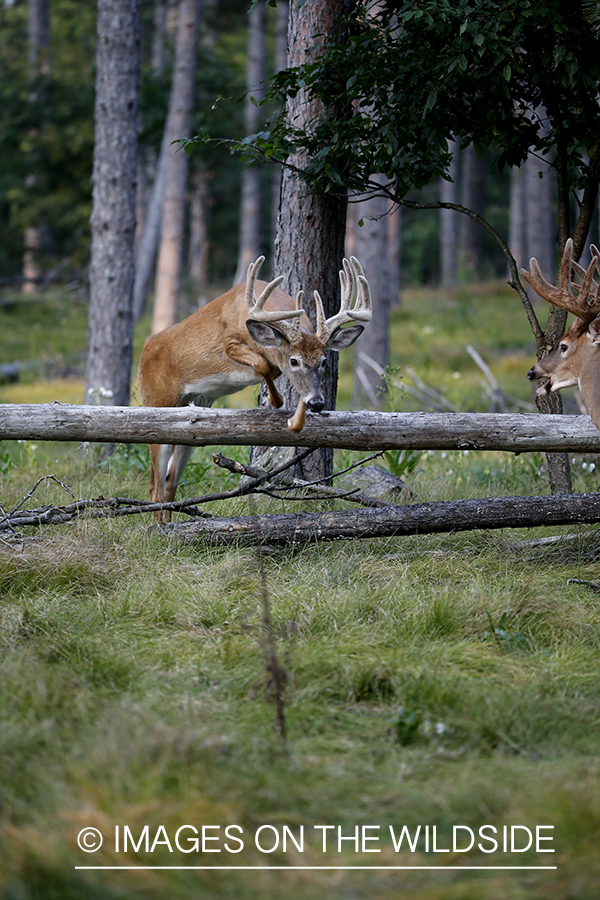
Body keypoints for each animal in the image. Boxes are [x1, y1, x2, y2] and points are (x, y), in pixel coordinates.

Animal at [138, 255, 370, 520]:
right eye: (294, 361)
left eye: (323, 361)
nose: (318, 403)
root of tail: (145, 349)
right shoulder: (230, 343)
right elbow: (263, 364)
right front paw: (275, 400)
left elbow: (275, 370)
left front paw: (295, 419)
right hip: (157, 401)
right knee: (154, 486)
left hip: (190, 414)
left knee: (169, 481)